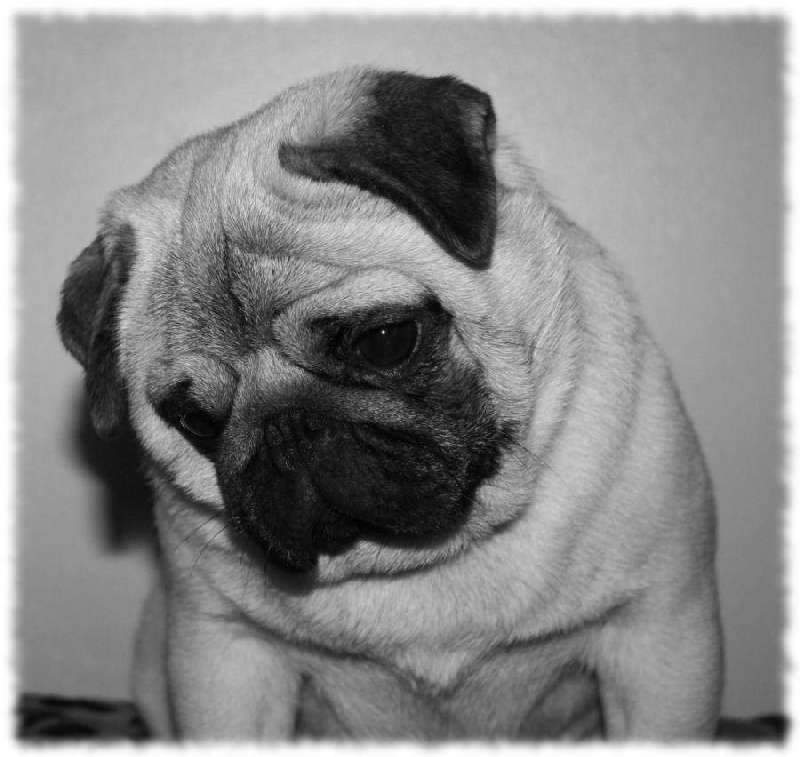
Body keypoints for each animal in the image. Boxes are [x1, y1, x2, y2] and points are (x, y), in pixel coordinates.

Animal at [57, 68, 723, 740]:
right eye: (196, 421)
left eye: (385, 340)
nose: (290, 427)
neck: (415, 560)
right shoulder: (227, 656)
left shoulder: (659, 639)